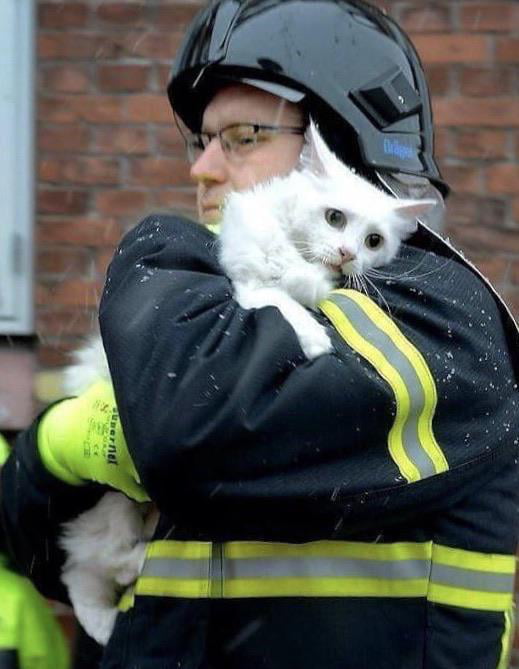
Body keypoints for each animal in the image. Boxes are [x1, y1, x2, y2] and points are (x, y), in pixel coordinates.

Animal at [59, 121, 436, 648]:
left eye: (375, 241)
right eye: (334, 218)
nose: (347, 254)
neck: (300, 253)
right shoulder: (249, 286)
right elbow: (284, 303)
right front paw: (314, 339)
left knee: (91, 570)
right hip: (112, 509)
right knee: (91, 566)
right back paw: (114, 604)